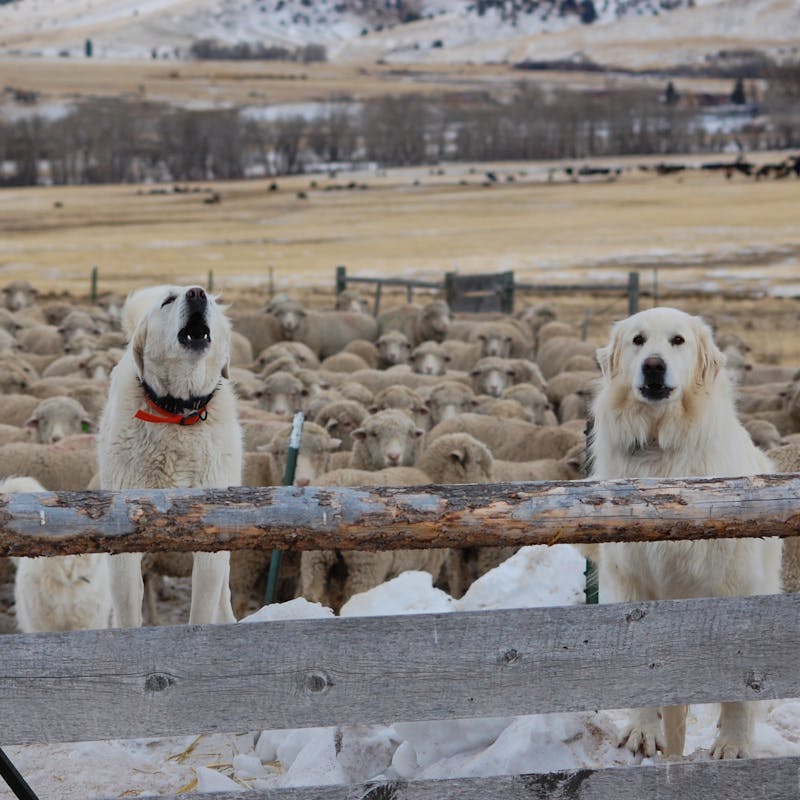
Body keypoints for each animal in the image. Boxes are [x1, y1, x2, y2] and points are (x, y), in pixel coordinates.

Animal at [98, 284, 241, 628]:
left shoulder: (211, 534)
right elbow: (127, 609)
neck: (178, 414)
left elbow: (202, 607)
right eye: (168, 301)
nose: (197, 293)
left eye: (210, 300)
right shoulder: (124, 538)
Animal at [592, 306, 784, 764]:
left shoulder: (733, 586)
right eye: (638, 340)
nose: (653, 366)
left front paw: (733, 744)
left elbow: (739, 682)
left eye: (677, 341)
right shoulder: (633, 581)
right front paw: (643, 732)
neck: (662, 453)